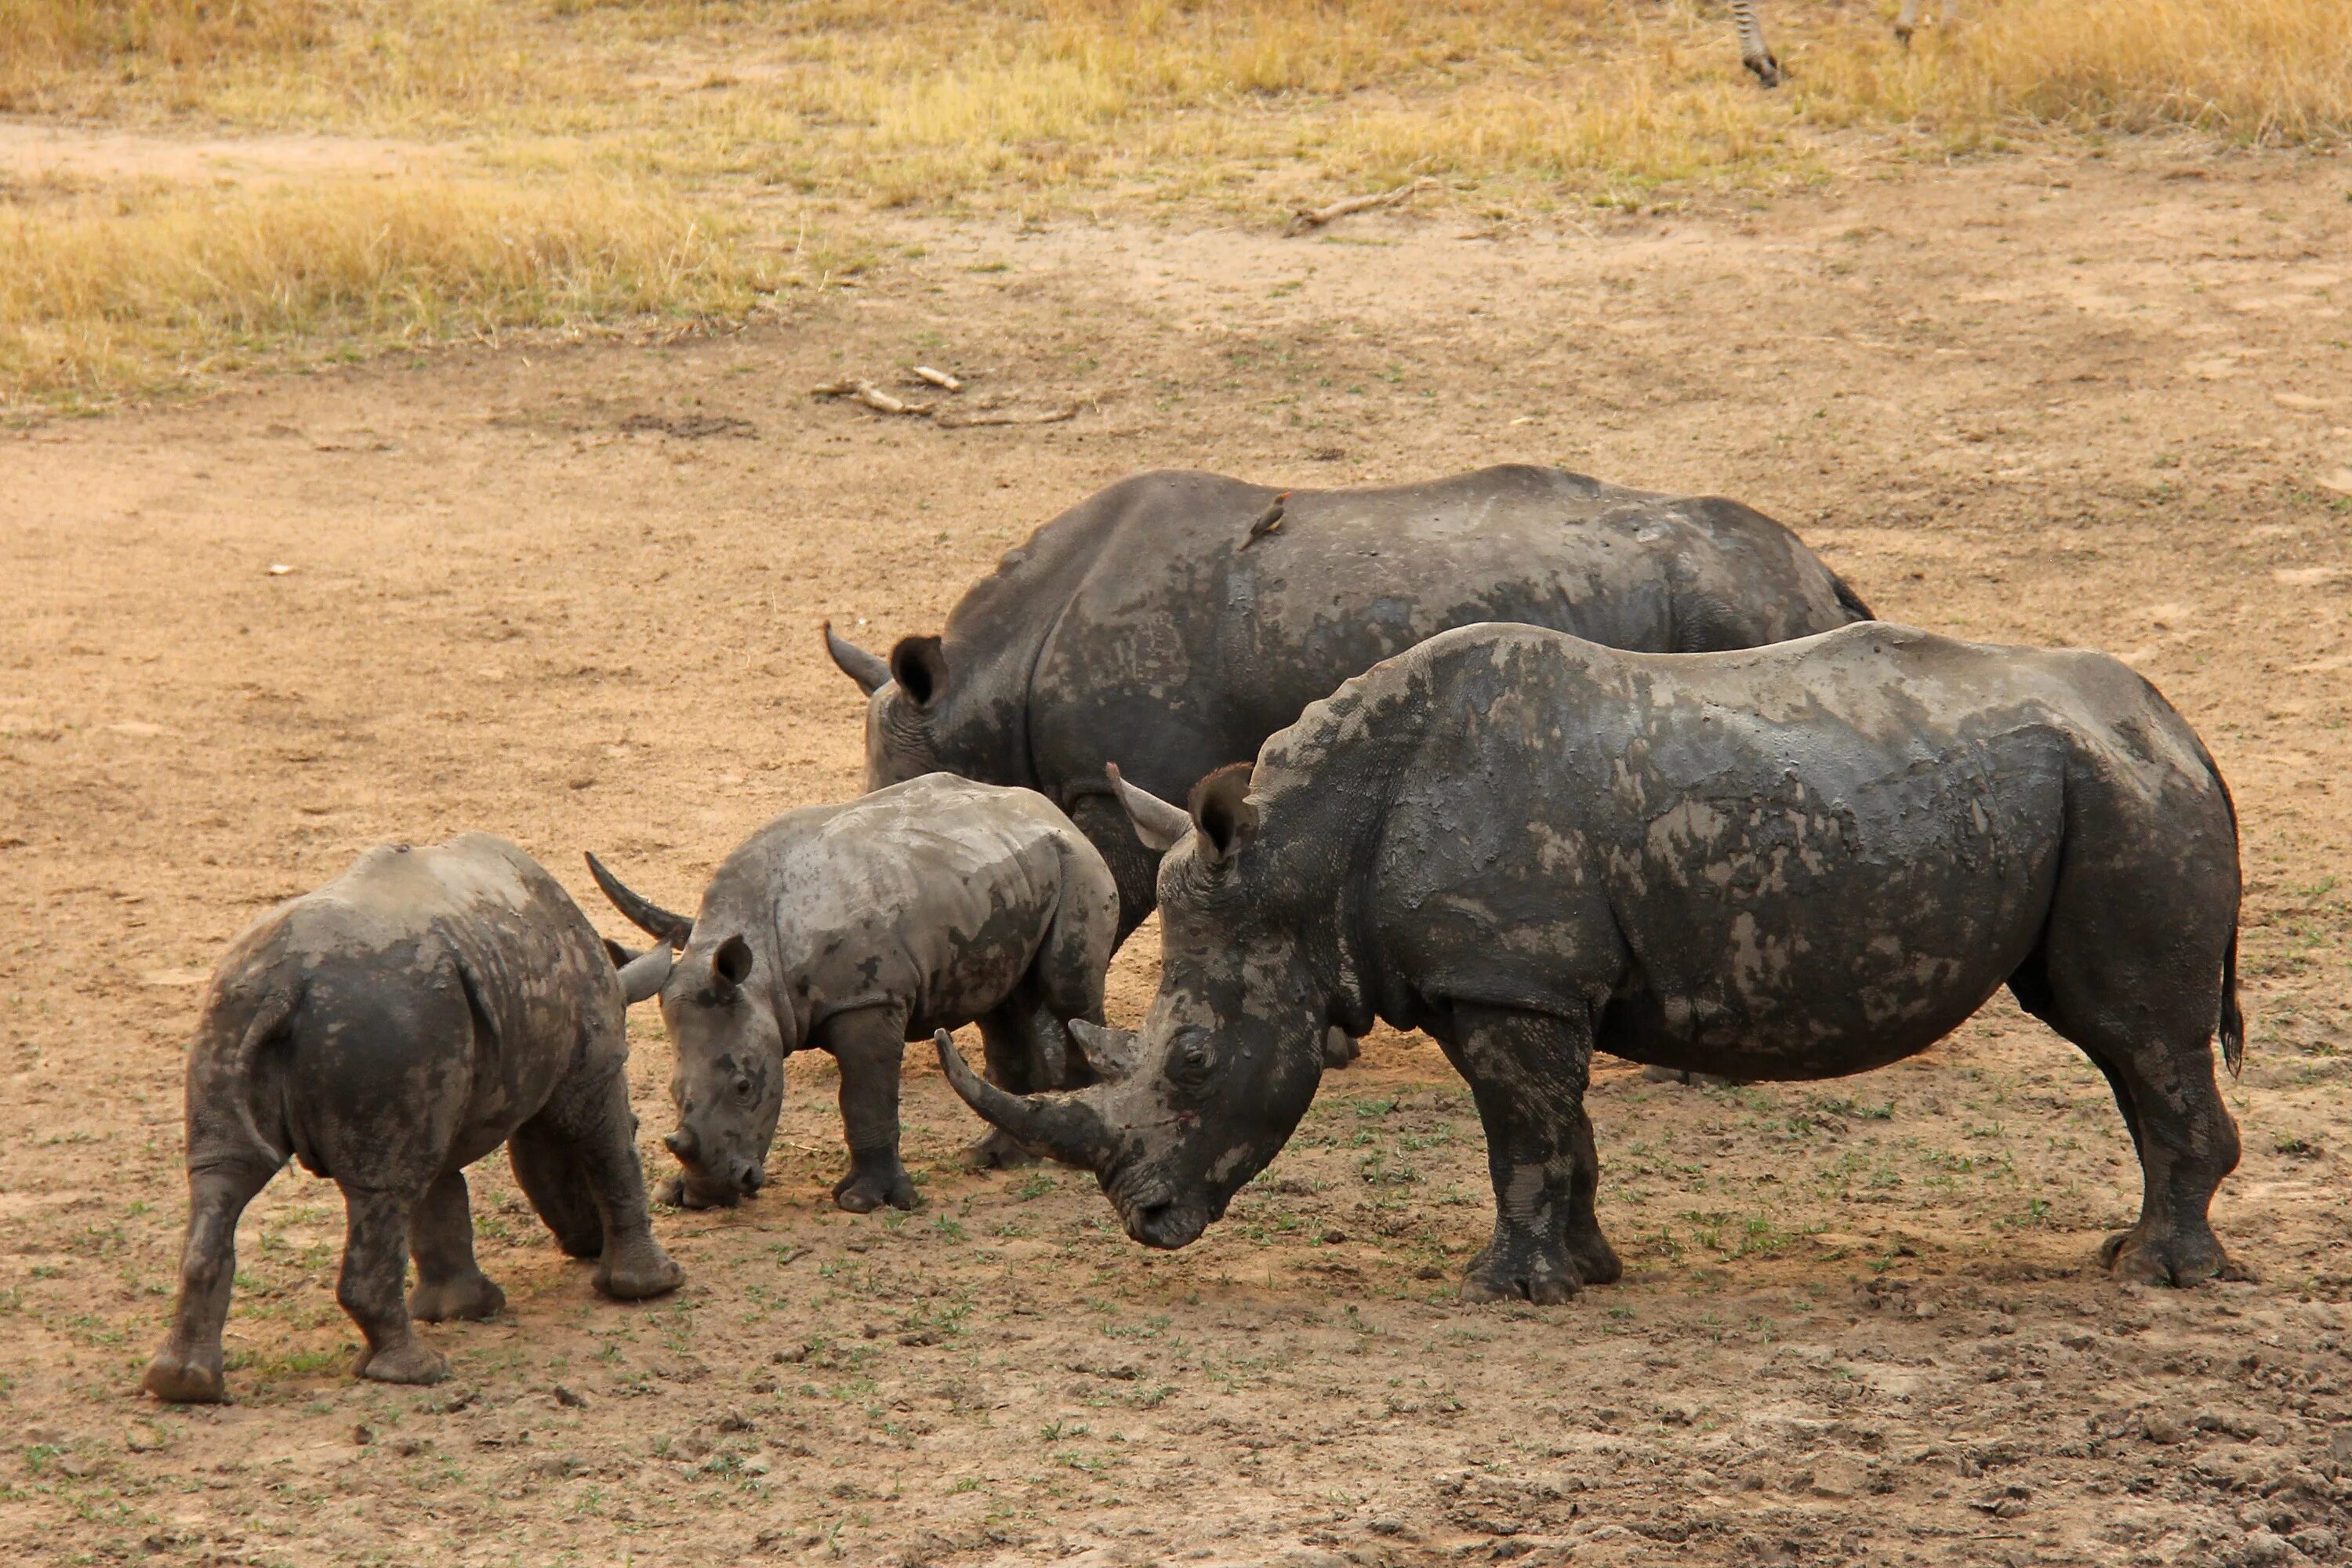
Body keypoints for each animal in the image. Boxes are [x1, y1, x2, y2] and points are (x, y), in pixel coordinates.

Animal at [144, 841, 682, 1401]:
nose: (584, 1246)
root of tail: (284, 986)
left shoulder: (439, 1082)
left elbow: (440, 1195)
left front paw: (465, 1310)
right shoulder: (593, 1068)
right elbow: (611, 1152)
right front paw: (651, 1286)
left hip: (246, 1013)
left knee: (225, 1178)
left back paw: (182, 1384)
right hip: (380, 1017)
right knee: (380, 1191)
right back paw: (421, 1372)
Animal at [597, 771, 1129, 1213]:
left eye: (746, 1087)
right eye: (671, 1092)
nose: (711, 1194)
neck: (761, 969)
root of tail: (1050, 810)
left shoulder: (868, 999)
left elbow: (864, 1097)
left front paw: (863, 1203)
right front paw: (675, 1192)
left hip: (1077, 863)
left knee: (1068, 992)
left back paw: (1061, 1157)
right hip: (1000, 874)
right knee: (1000, 1007)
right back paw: (992, 1158)